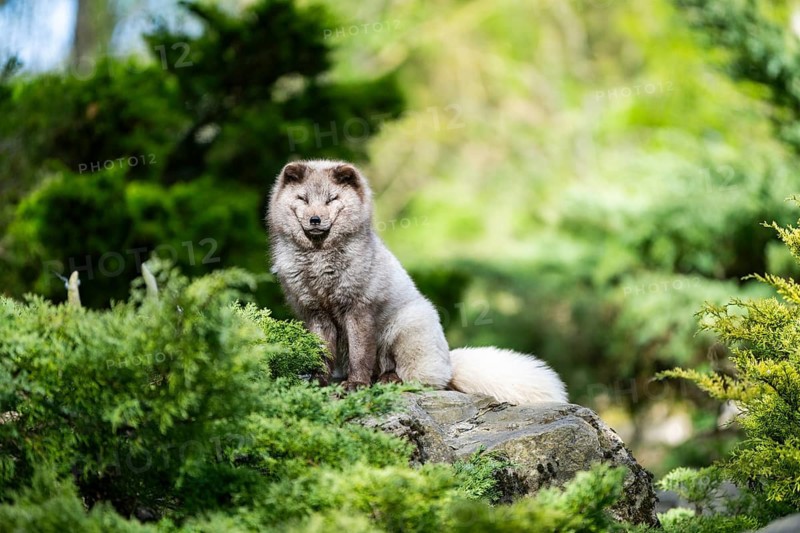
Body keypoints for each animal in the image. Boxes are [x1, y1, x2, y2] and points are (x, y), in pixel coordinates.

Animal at [266, 159, 567, 404]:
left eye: (331, 199)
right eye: (303, 198)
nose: (315, 219)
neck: (319, 262)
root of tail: (449, 363)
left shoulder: (359, 310)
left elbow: (360, 356)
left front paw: (356, 385)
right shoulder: (316, 314)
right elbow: (321, 355)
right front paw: (319, 383)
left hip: (406, 327)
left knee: (422, 379)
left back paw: (389, 380)